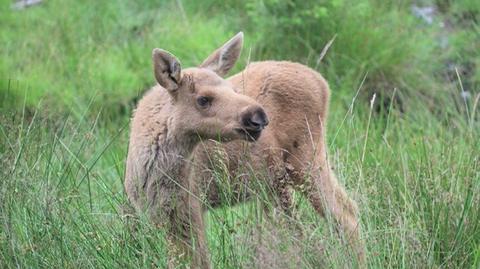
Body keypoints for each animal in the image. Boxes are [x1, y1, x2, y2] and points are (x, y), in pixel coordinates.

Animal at [124, 32, 364, 266]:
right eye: (203, 99)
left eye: (232, 89)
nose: (258, 117)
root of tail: (322, 83)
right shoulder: (167, 217)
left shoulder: (192, 208)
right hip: (275, 184)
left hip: (305, 161)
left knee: (344, 214)